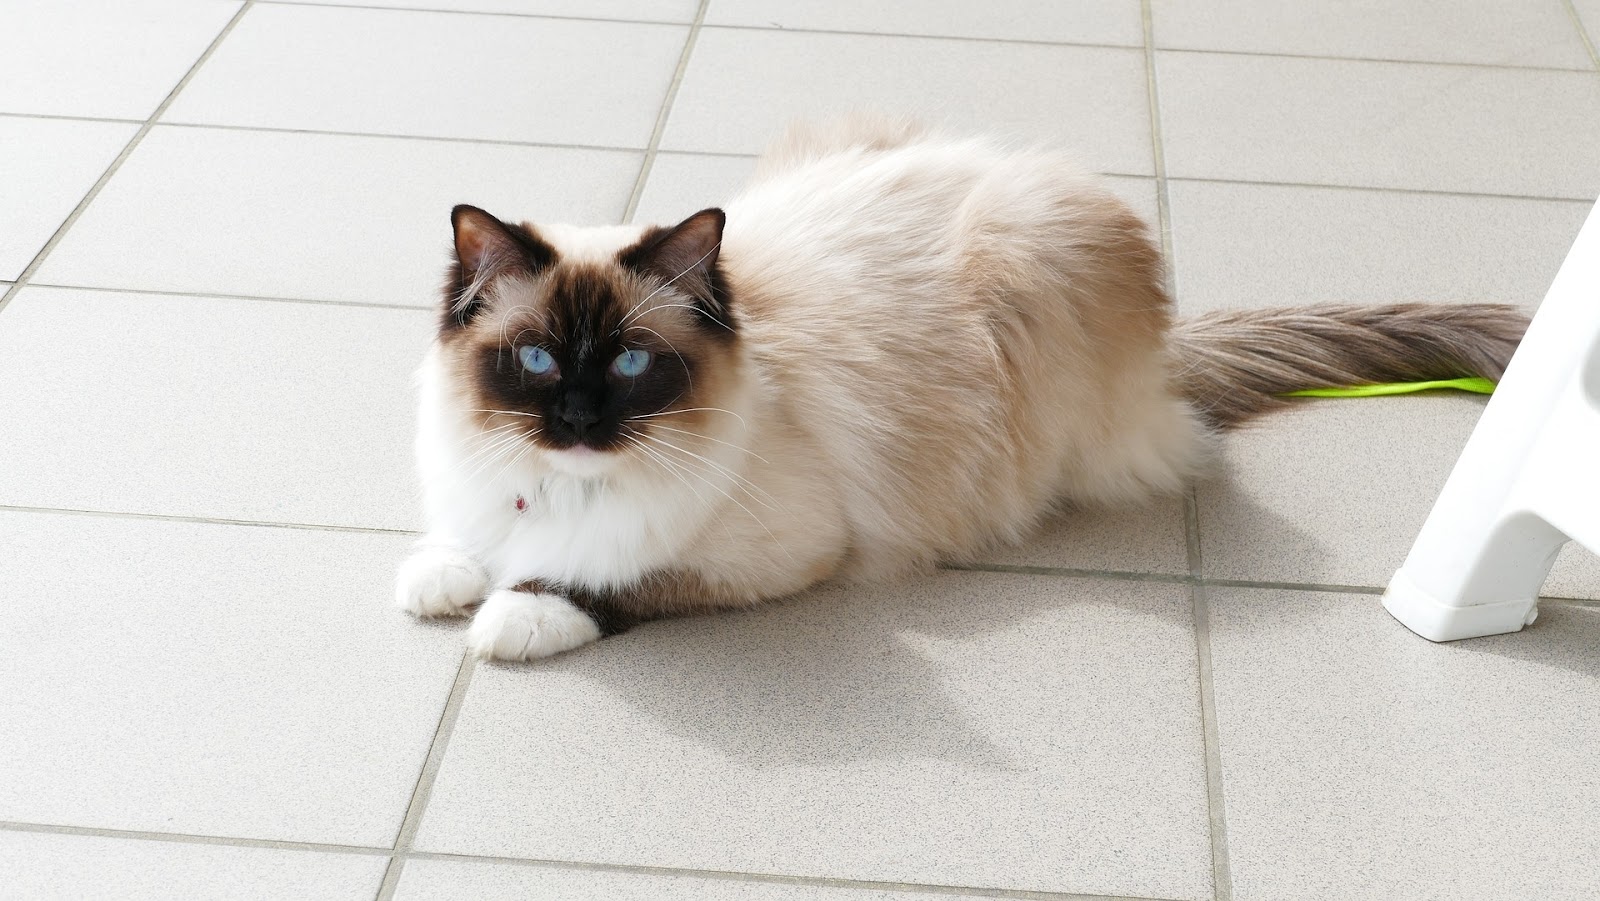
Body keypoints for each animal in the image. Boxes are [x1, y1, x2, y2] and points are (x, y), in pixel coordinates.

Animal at [390, 114, 1523, 662]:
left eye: (628, 365)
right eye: (538, 361)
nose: (576, 419)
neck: (560, 487)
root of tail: (1162, 356)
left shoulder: (779, 554)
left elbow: (604, 582)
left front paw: (512, 616)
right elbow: (465, 543)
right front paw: (442, 575)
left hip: (1033, 269)